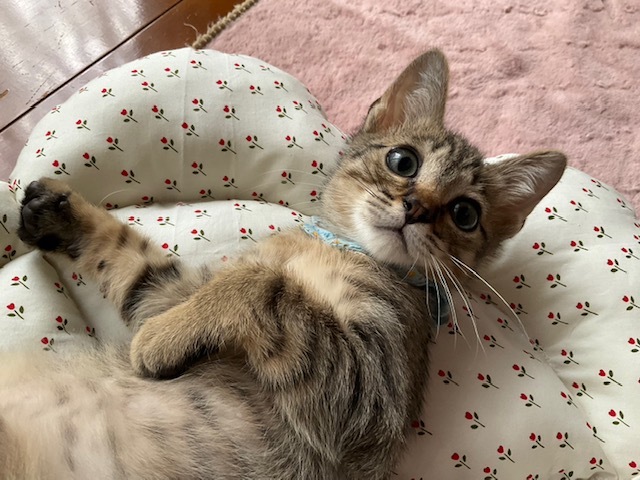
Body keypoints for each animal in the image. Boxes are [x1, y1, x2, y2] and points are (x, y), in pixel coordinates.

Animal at [1, 49, 566, 479]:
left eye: (465, 214)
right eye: (403, 160)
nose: (418, 208)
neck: (337, 248)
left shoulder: (365, 392)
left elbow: (260, 283)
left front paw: (157, 342)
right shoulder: (169, 295)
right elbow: (132, 260)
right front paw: (59, 215)